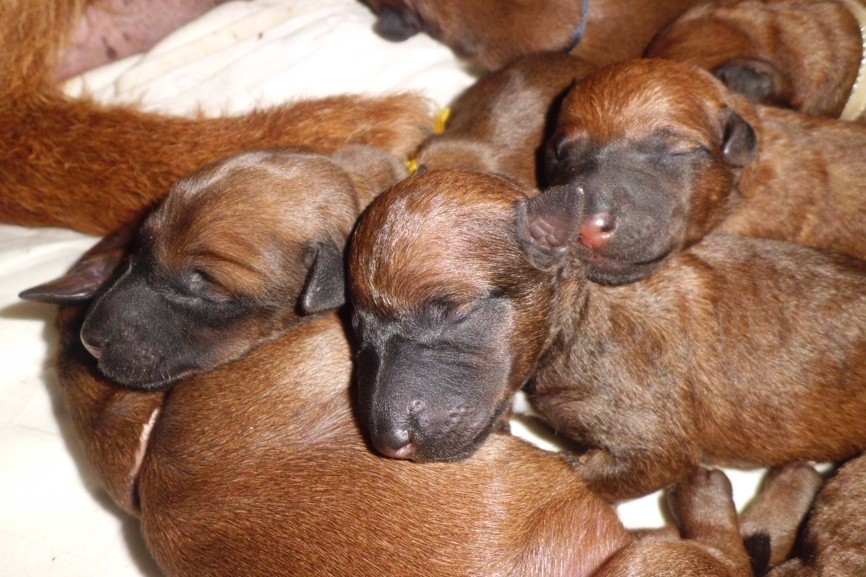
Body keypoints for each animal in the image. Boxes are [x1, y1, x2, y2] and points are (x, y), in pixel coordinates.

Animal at [347, 168, 866, 501]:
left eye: (455, 312)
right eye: (358, 329)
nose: (389, 442)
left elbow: (573, 473)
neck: (579, 319)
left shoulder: (654, 446)